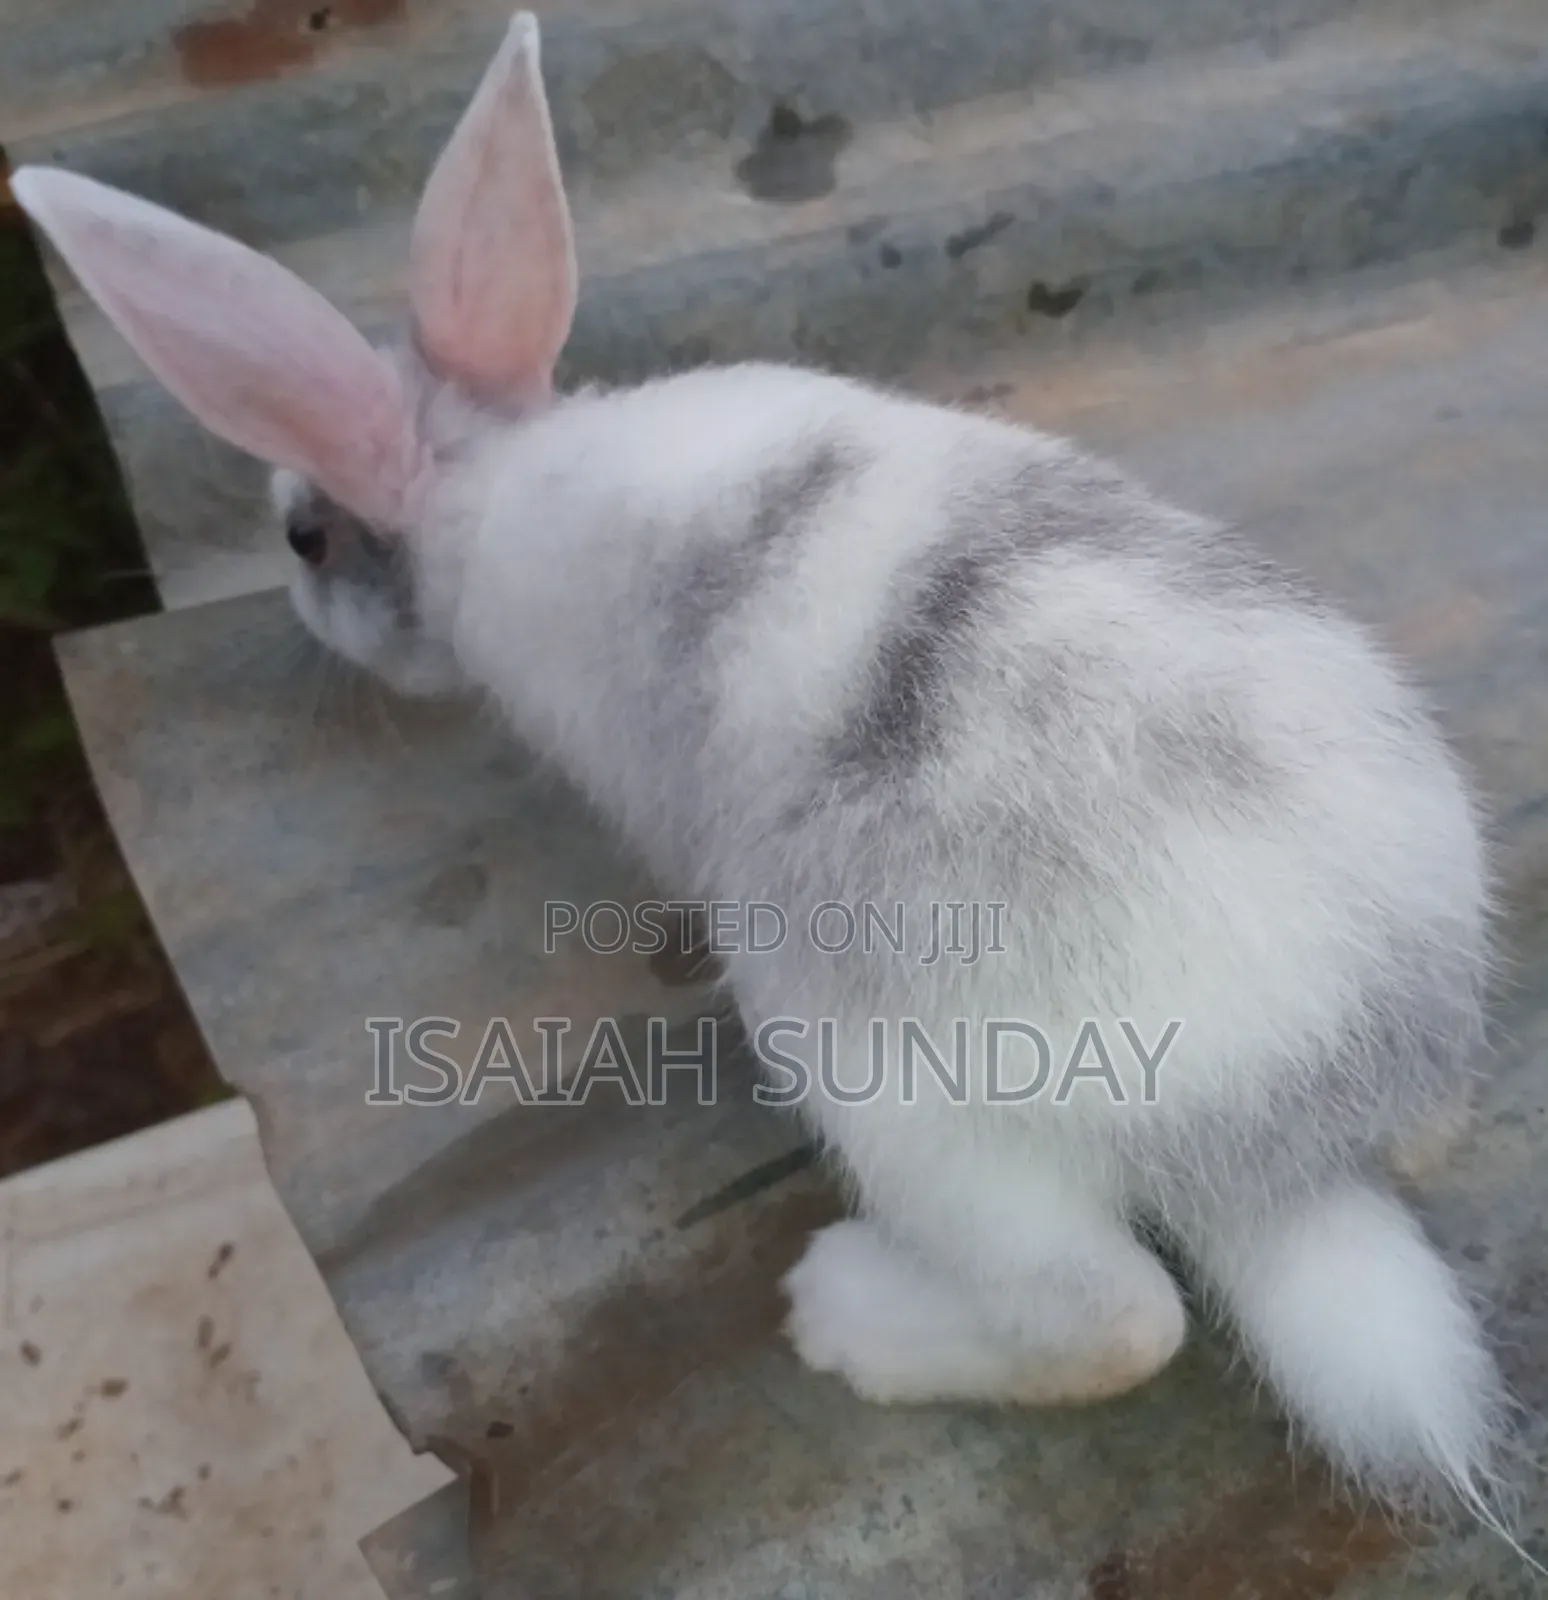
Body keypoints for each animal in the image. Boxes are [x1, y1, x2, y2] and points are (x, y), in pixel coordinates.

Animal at [14, 8, 1522, 1533]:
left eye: (305, 539)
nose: (302, 592)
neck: (482, 484)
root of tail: (1289, 1145)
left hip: (885, 1075)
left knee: (1112, 1321)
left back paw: (842, 1311)